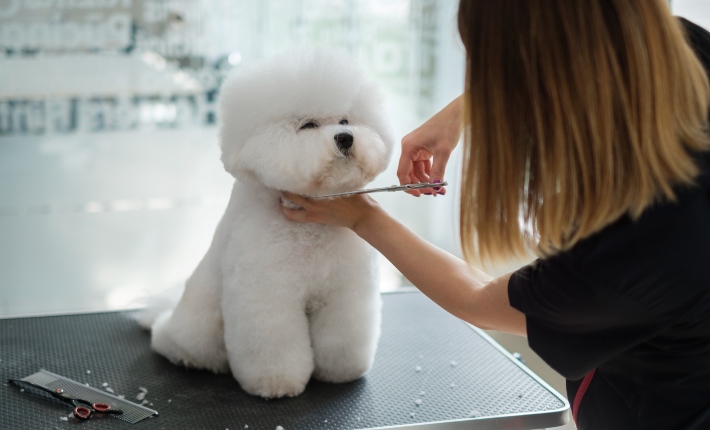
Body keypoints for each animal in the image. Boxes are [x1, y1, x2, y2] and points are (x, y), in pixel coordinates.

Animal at [140, 50, 394, 400]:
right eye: (308, 125)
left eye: (345, 120)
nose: (345, 137)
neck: (311, 232)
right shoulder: (266, 296)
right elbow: (274, 345)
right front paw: (276, 383)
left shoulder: (346, 292)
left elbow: (343, 336)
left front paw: (341, 372)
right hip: (198, 326)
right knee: (172, 340)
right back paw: (183, 353)